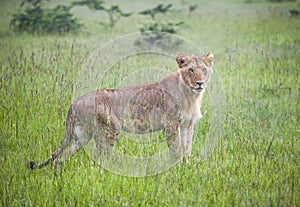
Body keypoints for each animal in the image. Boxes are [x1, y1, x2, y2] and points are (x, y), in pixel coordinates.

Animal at [29, 52, 213, 169]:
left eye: (204, 70)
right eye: (191, 70)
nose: (200, 83)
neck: (191, 95)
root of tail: (74, 103)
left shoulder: (188, 125)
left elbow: (187, 148)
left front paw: (186, 167)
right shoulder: (172, 124)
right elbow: (177, 149)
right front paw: (177, 170)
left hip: (80, 135)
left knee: (59, 158)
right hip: (109, 128)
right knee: (100, 157)